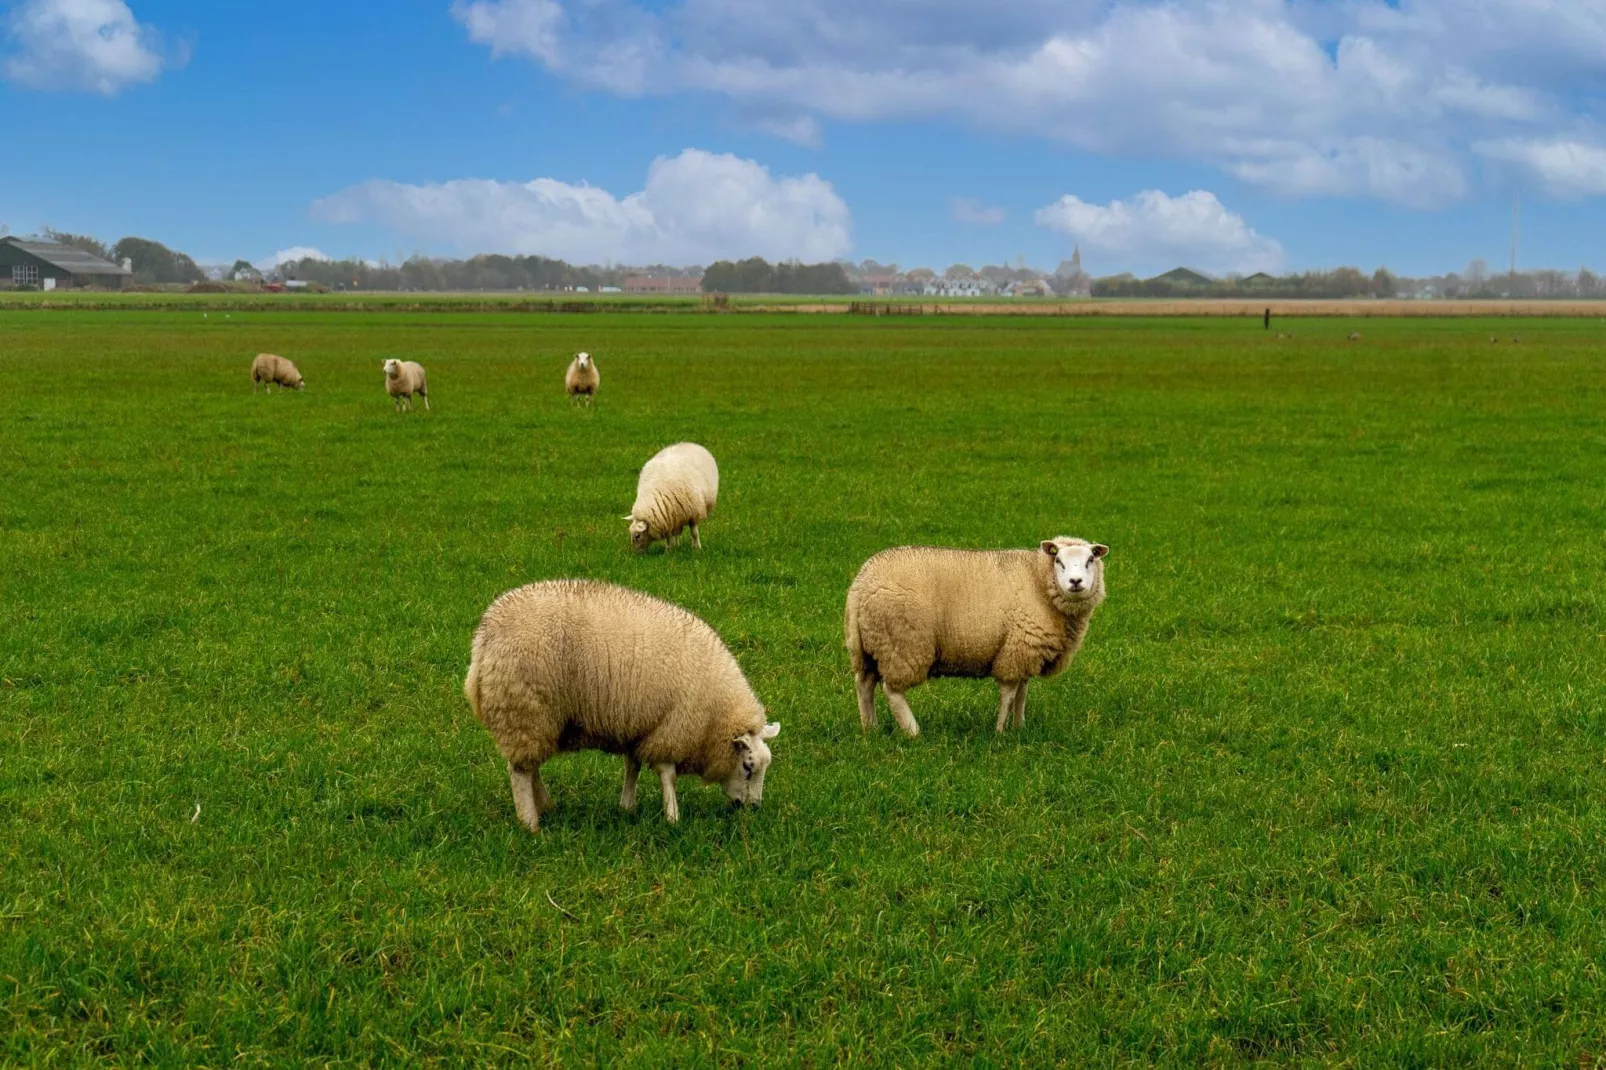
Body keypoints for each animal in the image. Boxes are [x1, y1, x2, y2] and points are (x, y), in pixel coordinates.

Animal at [462, 578, 780, 829]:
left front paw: (627, 806)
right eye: (748, 767)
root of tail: (484, 638)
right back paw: (531, 824)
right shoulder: (671, 727)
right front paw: (673, 818)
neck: (715, 717)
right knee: (520, 772)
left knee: (530, 767)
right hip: (522, 710)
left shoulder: (638, 726)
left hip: (534, 719)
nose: (754, 808)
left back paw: (546, 806)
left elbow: (632, 766)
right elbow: (668, 776)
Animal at [847, 533, 1111, 732]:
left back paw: (870, 729)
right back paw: (913, 732)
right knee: (892, 690)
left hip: (870, 644)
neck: (1038, 581)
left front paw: (1019, 728)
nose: (1075, 582)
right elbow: (1009, 694)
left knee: (864, 684)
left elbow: (1022, 693)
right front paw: (1000, 732)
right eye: (1059, 561)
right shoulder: (1015, 651)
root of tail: (861, 583)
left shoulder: (1025, 649)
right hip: (903, 643)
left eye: (1090, 560)